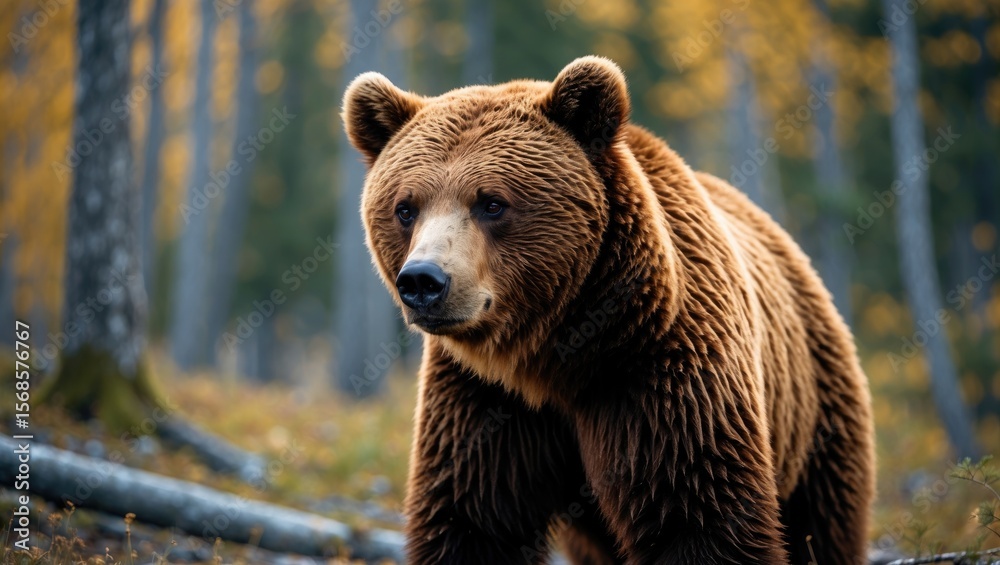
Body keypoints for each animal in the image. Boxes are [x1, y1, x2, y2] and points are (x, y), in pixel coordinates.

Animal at [343, 56, 875, 564]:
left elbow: (699, 512)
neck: (555, 355)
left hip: (815, 410)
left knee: (822, 522)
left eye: (491, 203)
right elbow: (473, 520)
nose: (423, 281)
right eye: (406, 207)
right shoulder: (481, 399)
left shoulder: (659, 371)